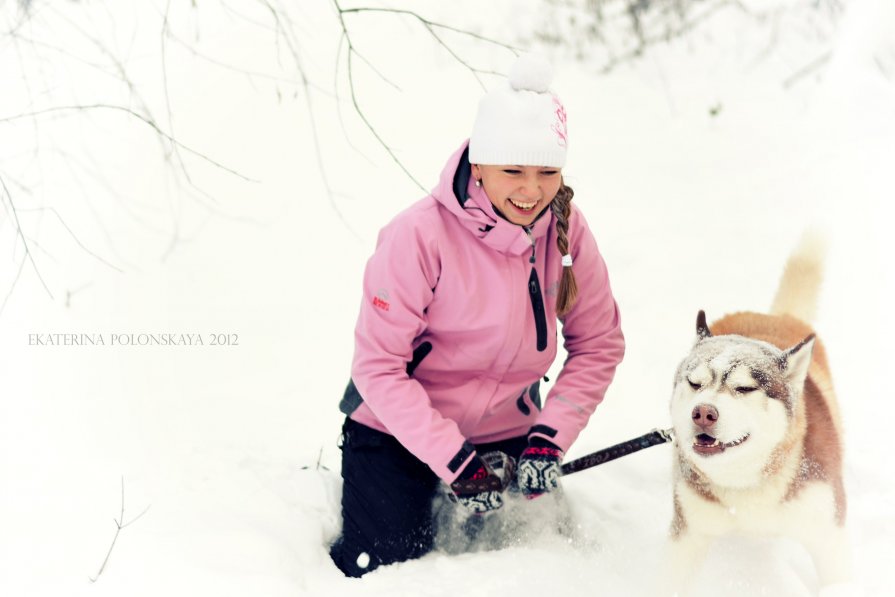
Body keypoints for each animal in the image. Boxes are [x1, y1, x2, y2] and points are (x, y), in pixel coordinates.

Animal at [664, 234, 856, 596]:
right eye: (695, 383)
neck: (750, 482)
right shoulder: (689, 534)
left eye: (744, 388)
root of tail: (773, 316)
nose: (703, 413)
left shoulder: (828, 535)